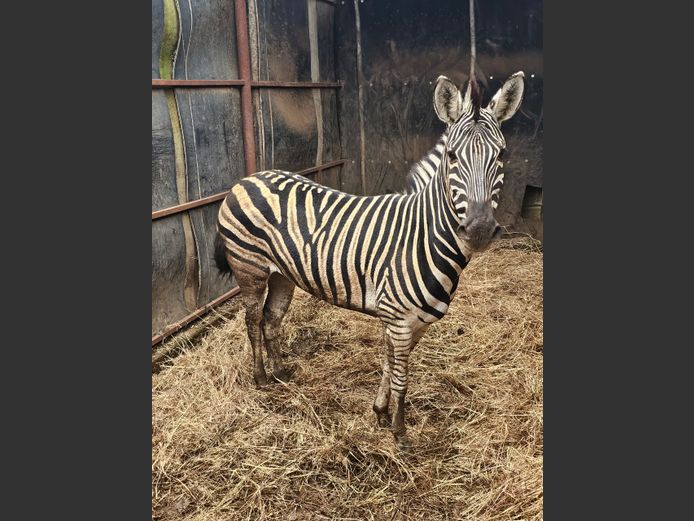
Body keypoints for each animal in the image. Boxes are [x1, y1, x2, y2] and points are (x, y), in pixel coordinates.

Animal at [214, 72, 524, 450]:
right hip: (250, 269)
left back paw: (282, 373)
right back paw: (260, 378)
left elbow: (391, 365)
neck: (423, 236)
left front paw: (380, 413)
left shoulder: (414, 321)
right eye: (452, 156)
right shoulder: (398, 317)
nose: (479, 230)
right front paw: (400, 433)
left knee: (272, 319)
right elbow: (402, 376)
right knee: (253, 320)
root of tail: (249, 178)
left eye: (502, 154)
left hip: (281, 274)